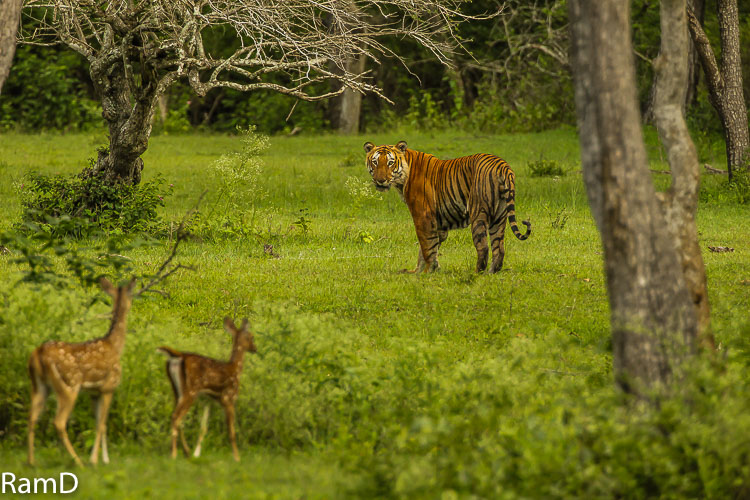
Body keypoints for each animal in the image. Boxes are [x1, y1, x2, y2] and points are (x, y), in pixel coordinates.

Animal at [27, 276, 137, 466]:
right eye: (131, 295)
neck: (115, 346)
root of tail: (38, 354)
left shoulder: (94, 392)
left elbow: (100, 423)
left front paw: (105, 459)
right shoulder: (109, 387)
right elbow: (101, 424)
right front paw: (95, 460)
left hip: (39, 385)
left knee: (32, 416)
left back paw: (31, 461)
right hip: (69, 384)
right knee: (59, 421)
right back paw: (78, 462)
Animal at [157, 318, 258, 462]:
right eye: (251, 337)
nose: (255, 348)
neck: (235, 369)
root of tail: (178, 356)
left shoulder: (208, 400)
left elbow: (203, 427)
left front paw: (197, 453)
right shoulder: (228, 398)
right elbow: (231, 431)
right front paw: (237, 457)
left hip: (176, 390)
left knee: (179, 419)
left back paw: (187, 452)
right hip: (190, 390)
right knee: (176, 416)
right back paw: (174, 454)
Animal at [366, 140, 532, 274]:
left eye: (390, 162)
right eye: (375, 162)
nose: (380, 180)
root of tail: (502, 165)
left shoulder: (423, 216)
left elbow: (427, 246)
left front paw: (426, 272)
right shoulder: (439, 223)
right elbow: (430, 247)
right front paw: (421, 271)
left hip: (478, 213)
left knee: (483, 247)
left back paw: (476, 273)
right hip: (499, 216)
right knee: (499, 248)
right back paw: (492, 273)